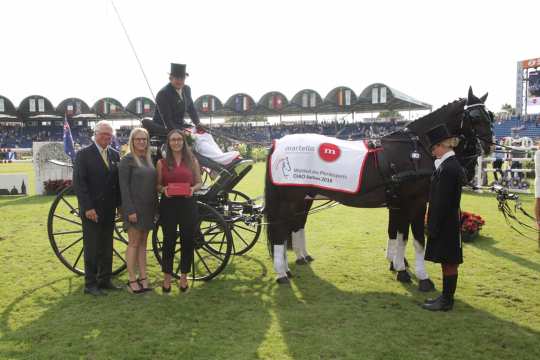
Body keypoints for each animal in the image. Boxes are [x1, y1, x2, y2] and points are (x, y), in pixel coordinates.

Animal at [264, 88, 494, 288]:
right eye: (475, 116)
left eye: (490, 115)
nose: (488, 146)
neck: (414, 150)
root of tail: (277, 143)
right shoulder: (415, 202)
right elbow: (417, 239)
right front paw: (418, 276)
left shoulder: (398, 203)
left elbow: (398, 234)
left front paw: (397, 265)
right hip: (290, 199)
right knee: (279, 230)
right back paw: (282, 273)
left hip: (303, 199)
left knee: (294, 226)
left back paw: (295, 261)